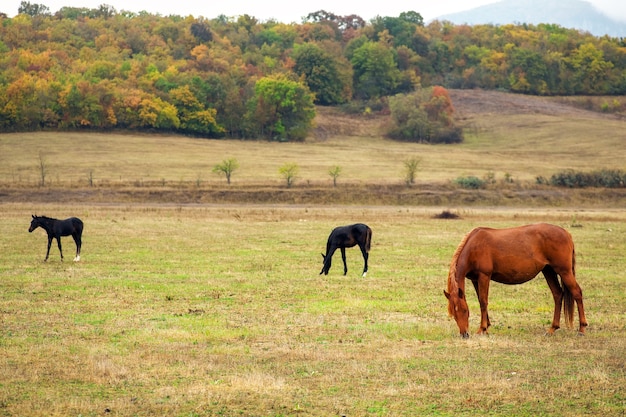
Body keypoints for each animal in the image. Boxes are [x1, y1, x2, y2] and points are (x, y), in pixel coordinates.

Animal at [444, 223, 584, 336]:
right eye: (453, 314)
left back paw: (582, 329)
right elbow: (480, 300)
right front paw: (487, 326)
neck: (474, 247)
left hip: (564, 272)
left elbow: (483, 302)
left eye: (464, 310)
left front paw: (482, 329)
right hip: (548, 271)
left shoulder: (484, 276)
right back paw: (552, 329)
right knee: (557, 294)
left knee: (577, 293)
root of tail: (566, 233)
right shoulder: (475, 279)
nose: (464, 334)